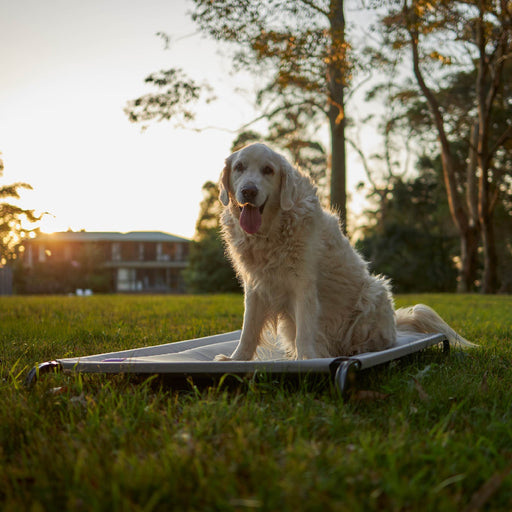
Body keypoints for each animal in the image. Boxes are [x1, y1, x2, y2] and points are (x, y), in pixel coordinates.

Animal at [214, 142, 470, 362]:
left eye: (268, 170)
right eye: (239, 167)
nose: (248, 191)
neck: (271, 230)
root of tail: (396, 325)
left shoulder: (303, 284)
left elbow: (304, 331)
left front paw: (306, 360)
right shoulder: (254, 286)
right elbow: (248, 329)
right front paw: (236, 359)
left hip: (374, 291)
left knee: (376, 341)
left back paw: (356, 350)